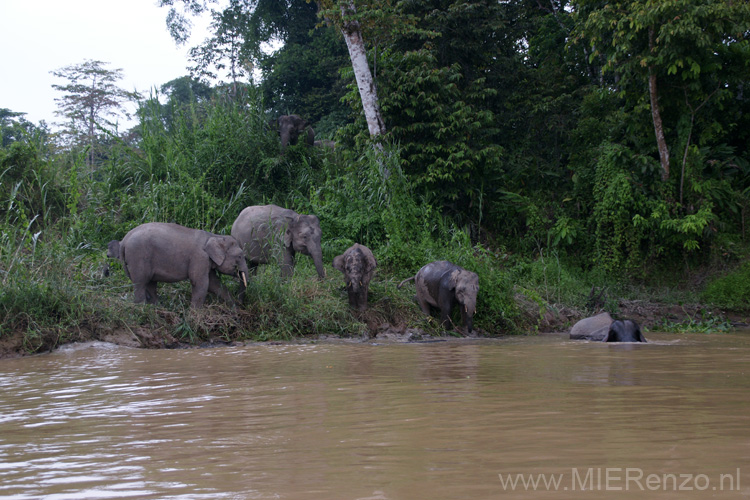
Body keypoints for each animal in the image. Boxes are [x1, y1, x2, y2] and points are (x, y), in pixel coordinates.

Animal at [120, 223, 250, 308]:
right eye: (240, 256)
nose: (241, 304)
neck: (214, 236)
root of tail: (124, 240)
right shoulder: (199, 258)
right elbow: (201, 283)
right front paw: (194, 315)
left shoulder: (206, 261)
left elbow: (214, 284)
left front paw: (234, 308)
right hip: (138, 256)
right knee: (141, 282)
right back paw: (142, 308)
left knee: (150, 283)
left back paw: (156, 307)